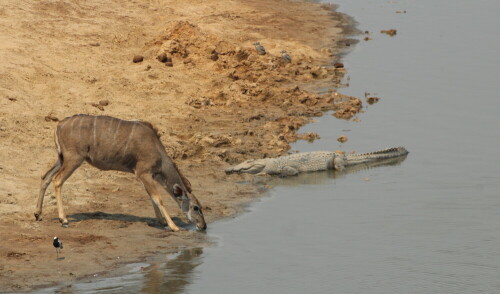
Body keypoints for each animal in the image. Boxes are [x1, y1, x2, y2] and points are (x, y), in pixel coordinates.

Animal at [35, 115, 207, 232]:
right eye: (196, 208)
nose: (204, 226)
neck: (157, 150)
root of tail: (59, 125)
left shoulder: (146, 176)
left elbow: (152, 197)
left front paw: (162, 221)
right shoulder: (143, 173)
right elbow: (158, 198)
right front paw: (173, 226)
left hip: (61, 158)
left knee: (45, 176)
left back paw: (38, 214)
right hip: (73, 159)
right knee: (57, 180)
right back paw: (63, 219)